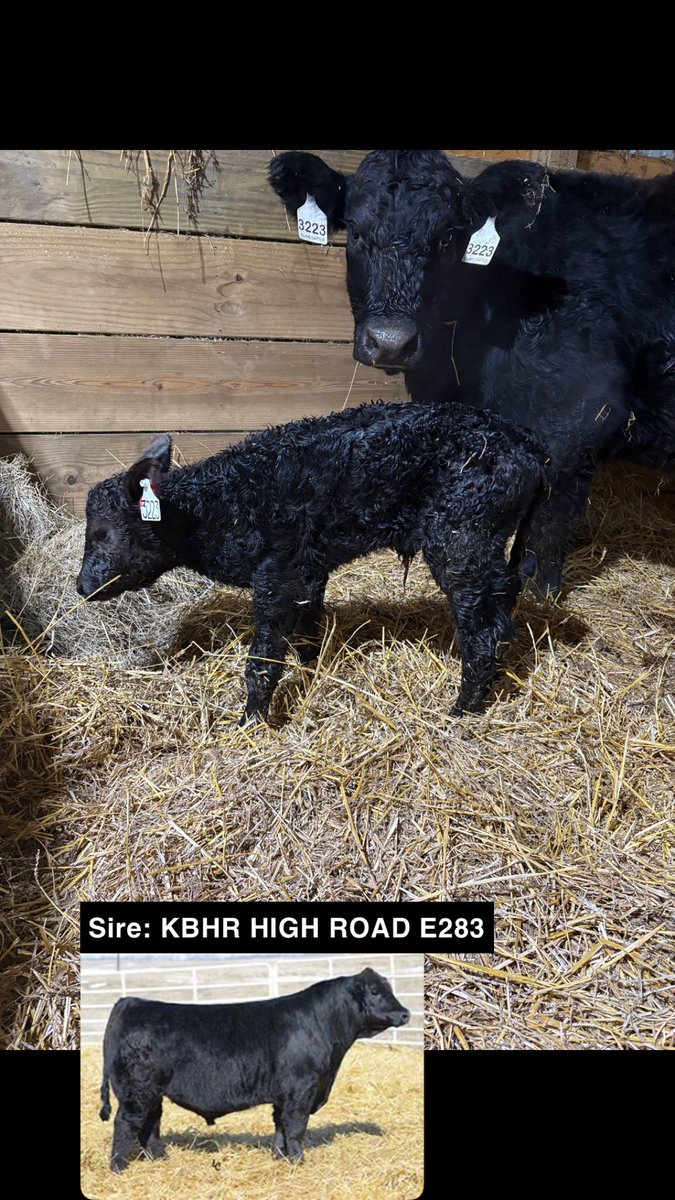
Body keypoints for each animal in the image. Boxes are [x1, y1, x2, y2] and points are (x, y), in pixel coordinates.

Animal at [75, 400, 549, 724]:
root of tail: (529, 448)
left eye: (101, 532)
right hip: (487, 547)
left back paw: (459, 711)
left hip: (461, 536)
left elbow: (263, 660)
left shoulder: (276, 573)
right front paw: (312, 670)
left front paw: (250, 723)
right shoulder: (307, 569)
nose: (81, 586)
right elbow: (307, 632)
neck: (221, 508)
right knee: (504, 607)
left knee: (483, 634)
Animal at [99, 967, 411, 1171]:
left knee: (149, 1124)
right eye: (375, 992)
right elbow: (296, 1127)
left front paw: (280, 1157)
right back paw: (118, 1167)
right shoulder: (301, 1089)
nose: (405, 1013)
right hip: (137, 1090)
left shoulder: (284, 1094)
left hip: (152, 1093)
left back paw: (160, 1159)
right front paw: (299, 1162)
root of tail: (131, 1002)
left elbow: (280, 1125)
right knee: (126, 1123)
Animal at [269, 150, 675, 598]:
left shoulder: (583, 411)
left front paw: (536, 594)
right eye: (356, 231)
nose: (391, 341)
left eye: (448, 237)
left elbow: (549, 518)